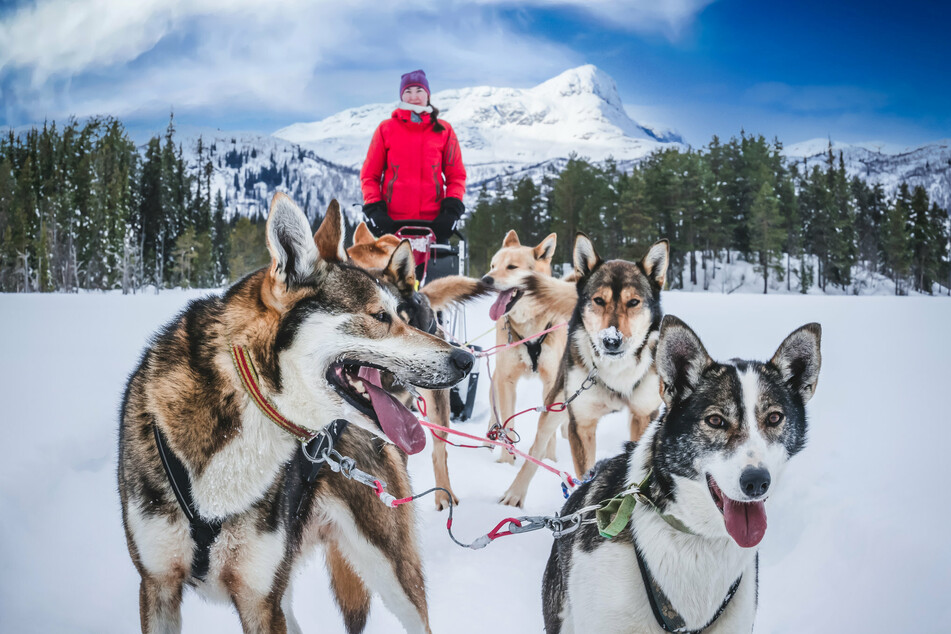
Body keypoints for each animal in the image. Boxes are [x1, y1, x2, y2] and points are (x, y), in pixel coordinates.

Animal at [117, 194, 474, 632]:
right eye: (380, 316)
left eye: (400, 314)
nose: (466, 359)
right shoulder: (159, 585)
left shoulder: (259, 599)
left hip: (391, 569)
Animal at [480, 232, 568, 464]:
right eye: (492, 265)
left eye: (511, 267)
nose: (485, 280)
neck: (530, 327)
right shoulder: (506, 380)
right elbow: (507, 423)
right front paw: (506, 462)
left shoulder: (551, 381)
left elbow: (549, 430)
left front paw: (548, 460)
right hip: (496, 381)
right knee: (494, 415)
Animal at [502, 235, 664, 506]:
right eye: (599, 300)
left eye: (633, 302)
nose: (611, 341)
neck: (615, 373)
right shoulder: (581, 424)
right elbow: (585, 475)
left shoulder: (643, 416)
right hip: (557, 404)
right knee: (537, 447)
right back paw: (515, 492)